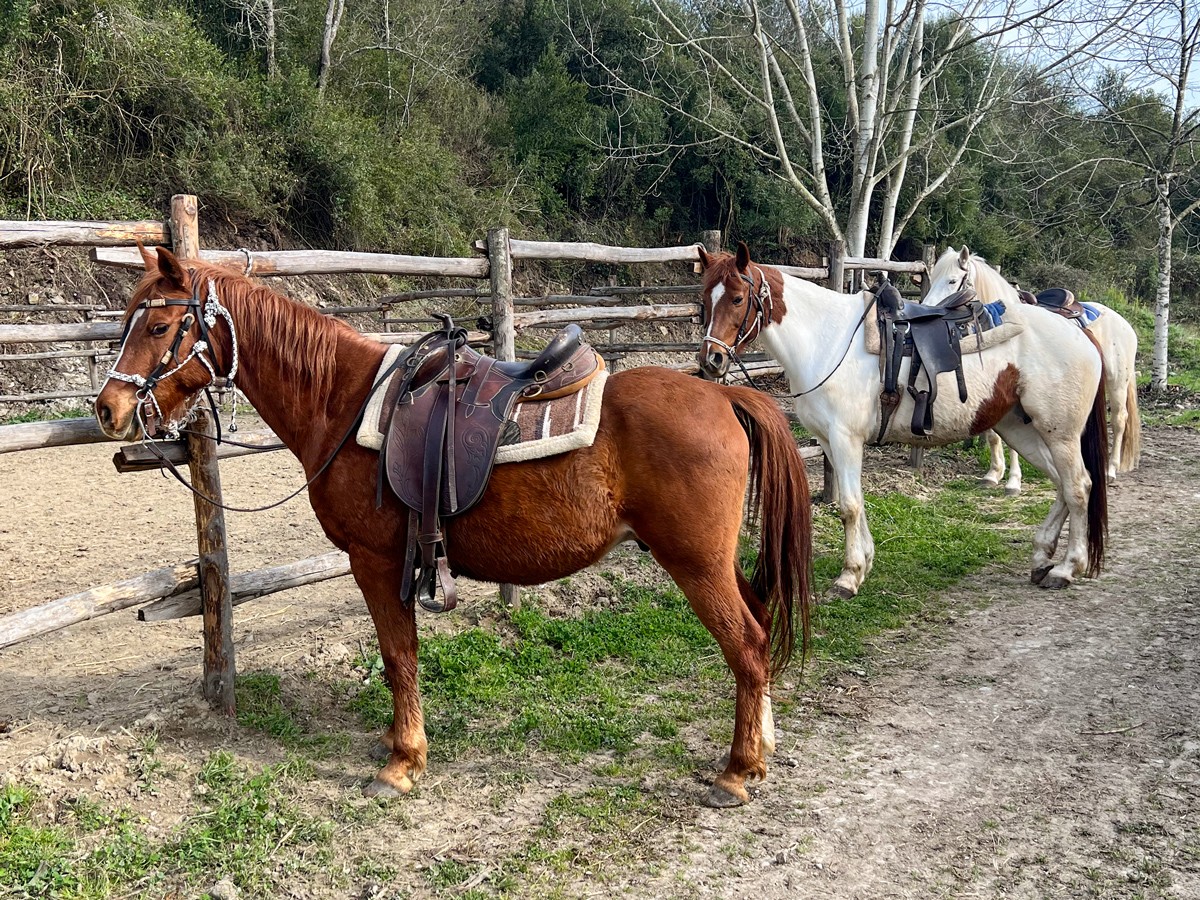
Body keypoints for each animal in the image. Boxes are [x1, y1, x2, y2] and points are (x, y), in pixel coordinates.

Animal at [88, 247, 811, 811]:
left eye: (160, 323)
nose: (108, 409)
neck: (342, 401)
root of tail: (724, 395)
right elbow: (399, 656)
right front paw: (396, 743)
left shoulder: (375, 560)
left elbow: (398, 656)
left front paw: (403, 760)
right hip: (718, 560)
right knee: (759, 622)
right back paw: (762, 747)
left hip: (694, 563)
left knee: (748, 646)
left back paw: (736, 772)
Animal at [700, 243, 1108, 602]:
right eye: (705, 297)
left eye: (737, 298)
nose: (712, 360)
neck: (825, 340)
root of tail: (1082, 335)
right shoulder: (830, 442)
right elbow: (853, 501)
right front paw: (864, 563)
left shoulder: (845, 439)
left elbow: (849, 506)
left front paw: (848, 578)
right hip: (1022, 430)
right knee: (1063, 484)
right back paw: (1041, 558)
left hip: (1060, 434)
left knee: (1078, 487)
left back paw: (1065, 569)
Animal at [926, 247, 1142, 496]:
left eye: (952, 281)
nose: (928, 310)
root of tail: (1122, 321)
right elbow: (993, 435)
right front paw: (993, 473)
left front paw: (1013, 481)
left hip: (1117, 382)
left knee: (1119, 420)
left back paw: (1111, 470)